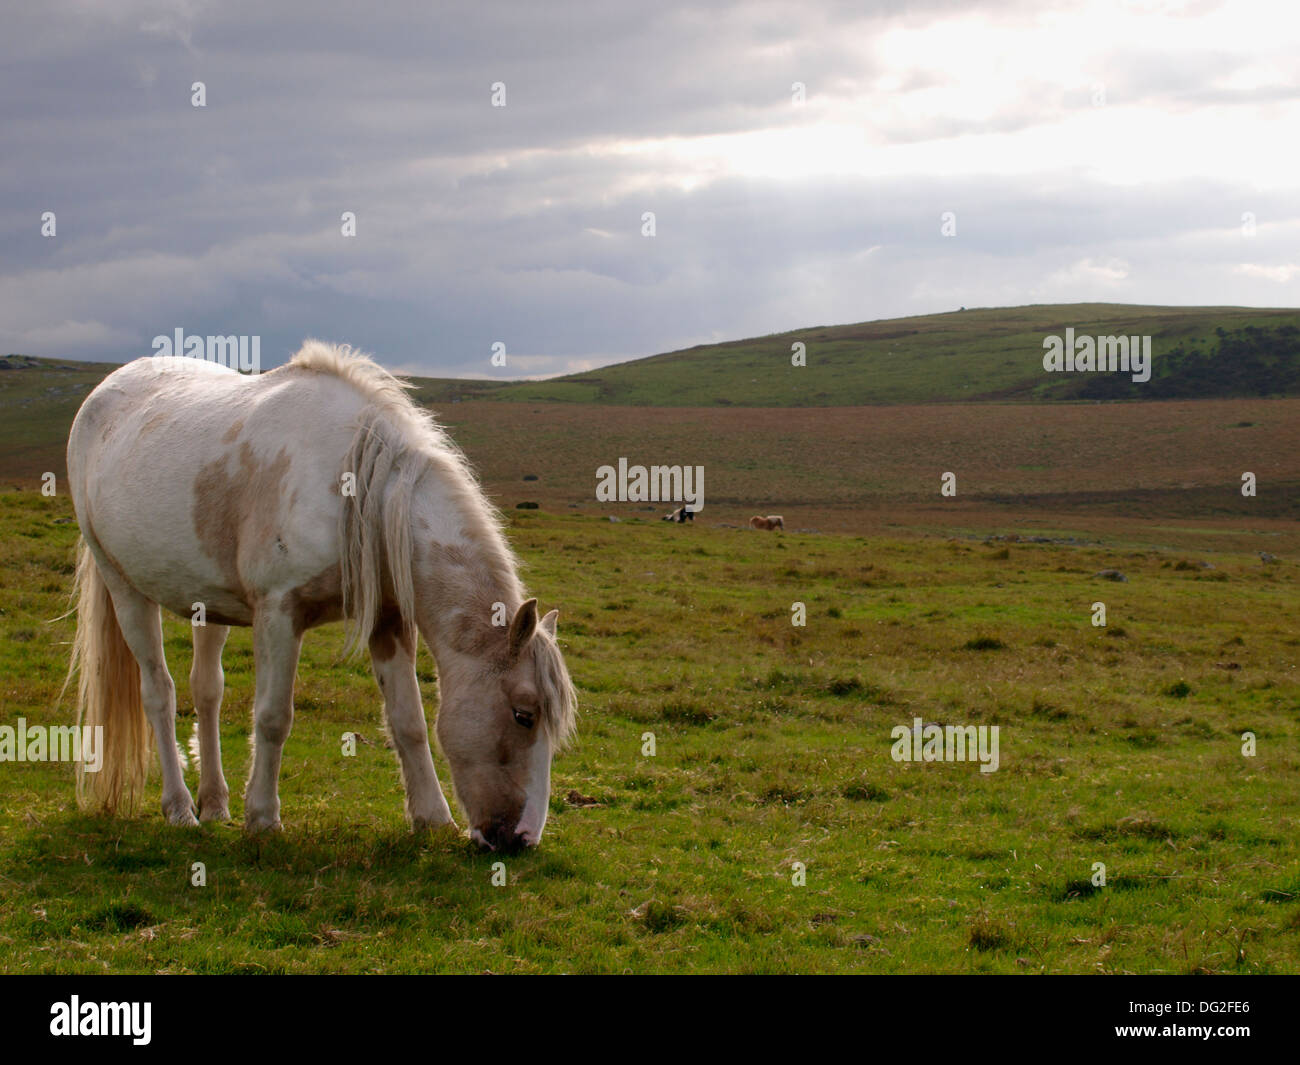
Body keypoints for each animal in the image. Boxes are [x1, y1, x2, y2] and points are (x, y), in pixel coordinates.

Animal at [64, 340, 574, 847]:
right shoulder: (279, 614)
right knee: (159, 693)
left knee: (206, 691)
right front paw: (263, 816)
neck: (354, 486)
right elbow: (273, 717)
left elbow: (408, 721)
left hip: (206, 605)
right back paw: (179, 808)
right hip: (123, 587)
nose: (523, 839)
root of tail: (104, 392)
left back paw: (214, 804)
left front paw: (432, 817)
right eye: (524, 714)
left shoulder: (388, 619)